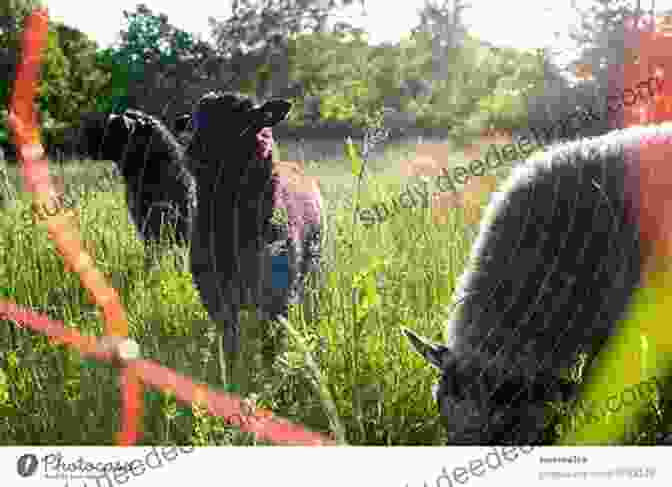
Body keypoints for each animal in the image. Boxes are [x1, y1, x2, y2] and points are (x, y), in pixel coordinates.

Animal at [185, 90, 324, 388]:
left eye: (248, 119)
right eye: (196, 119)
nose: (193, 152)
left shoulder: (276, 298)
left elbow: (270, 347)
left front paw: (268, 383)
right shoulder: (215, 297)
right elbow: (229, 346)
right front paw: (230, 380)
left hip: (311, 266)